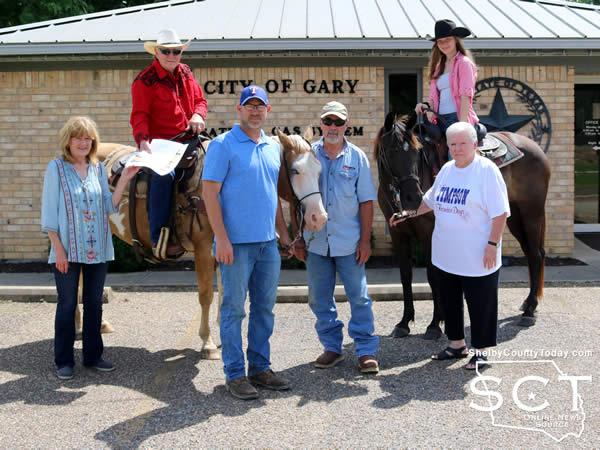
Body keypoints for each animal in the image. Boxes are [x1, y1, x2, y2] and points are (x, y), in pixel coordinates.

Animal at [77, 128, 326, 356]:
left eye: (319, 170)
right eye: (295, 170)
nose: (319, 217)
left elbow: (225, 293)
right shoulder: (204, 249)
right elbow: (206, 295)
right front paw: (207, 343)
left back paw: (95, 324)